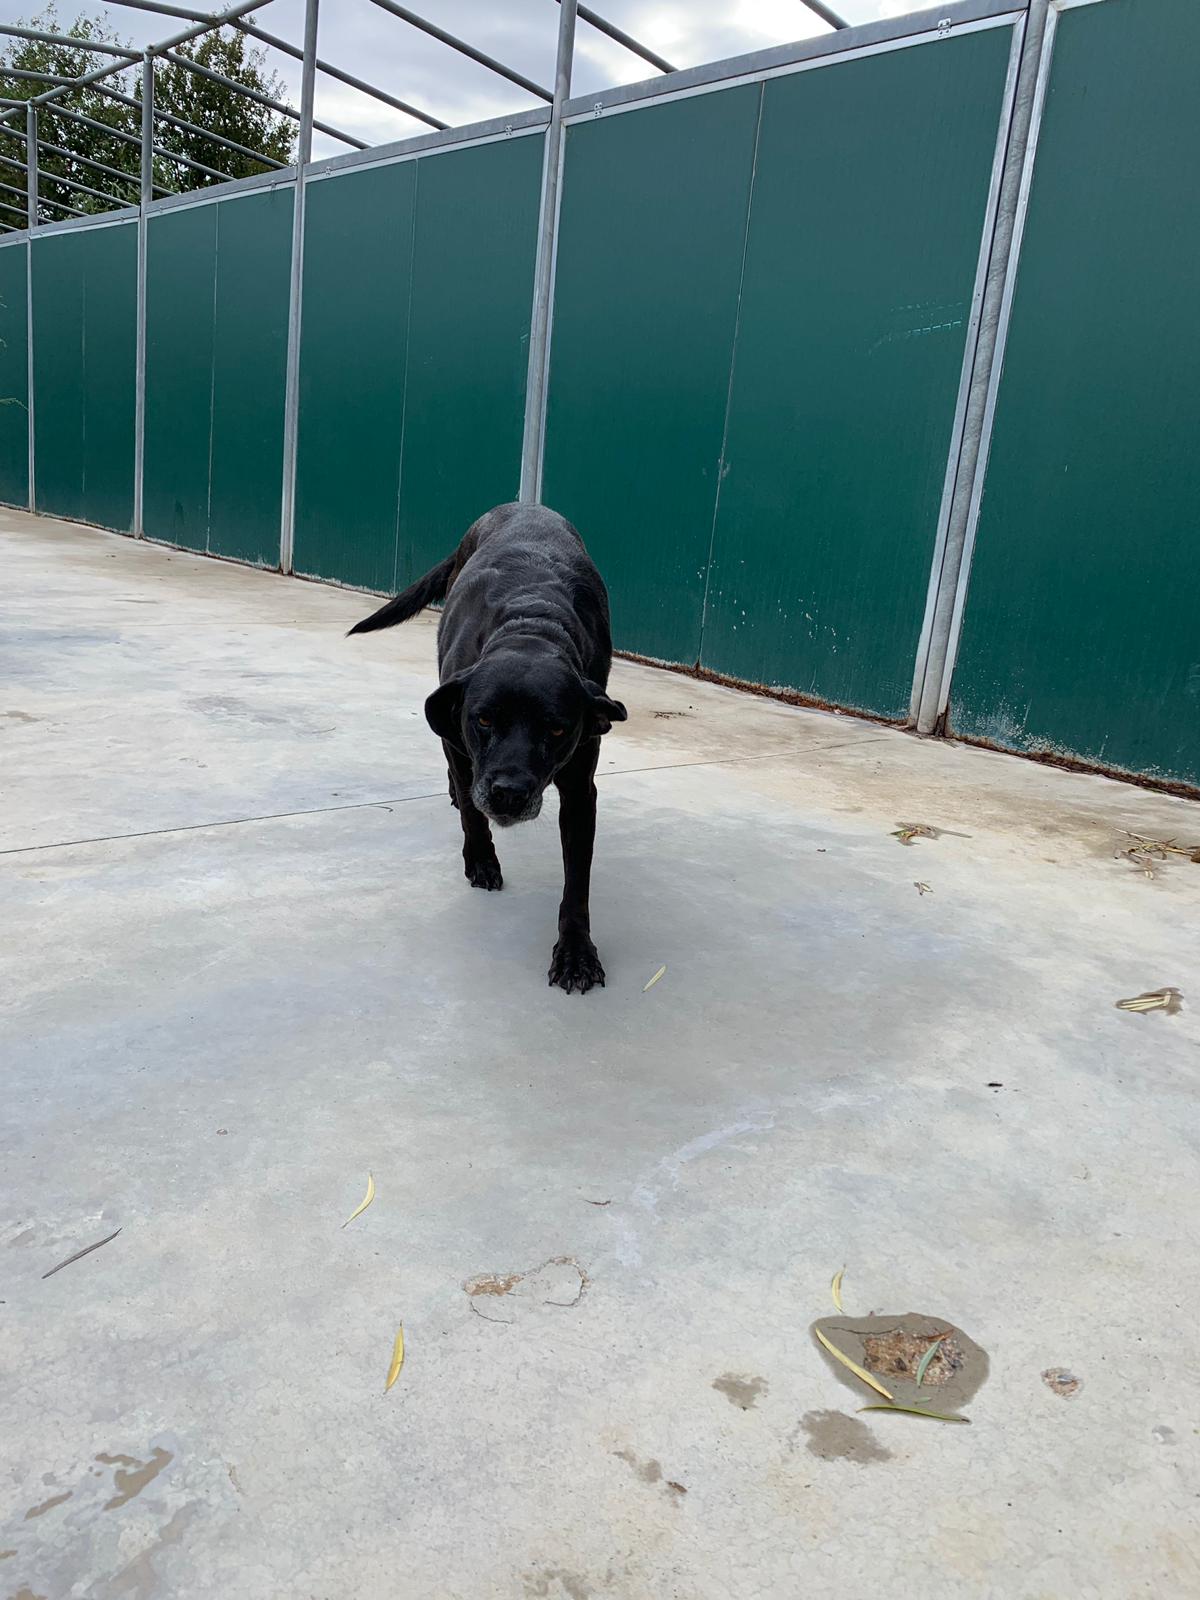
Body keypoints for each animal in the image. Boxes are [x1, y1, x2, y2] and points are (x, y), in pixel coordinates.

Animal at [350, 503, 627, 994]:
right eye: (483, 719)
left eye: (557, 730)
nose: (509, 794)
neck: (532, 626)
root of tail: (522, 504)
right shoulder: (461, 746)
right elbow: (471, 814)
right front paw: (481, 860)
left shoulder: (580, 790)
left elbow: (577, 881)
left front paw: (576, 952)